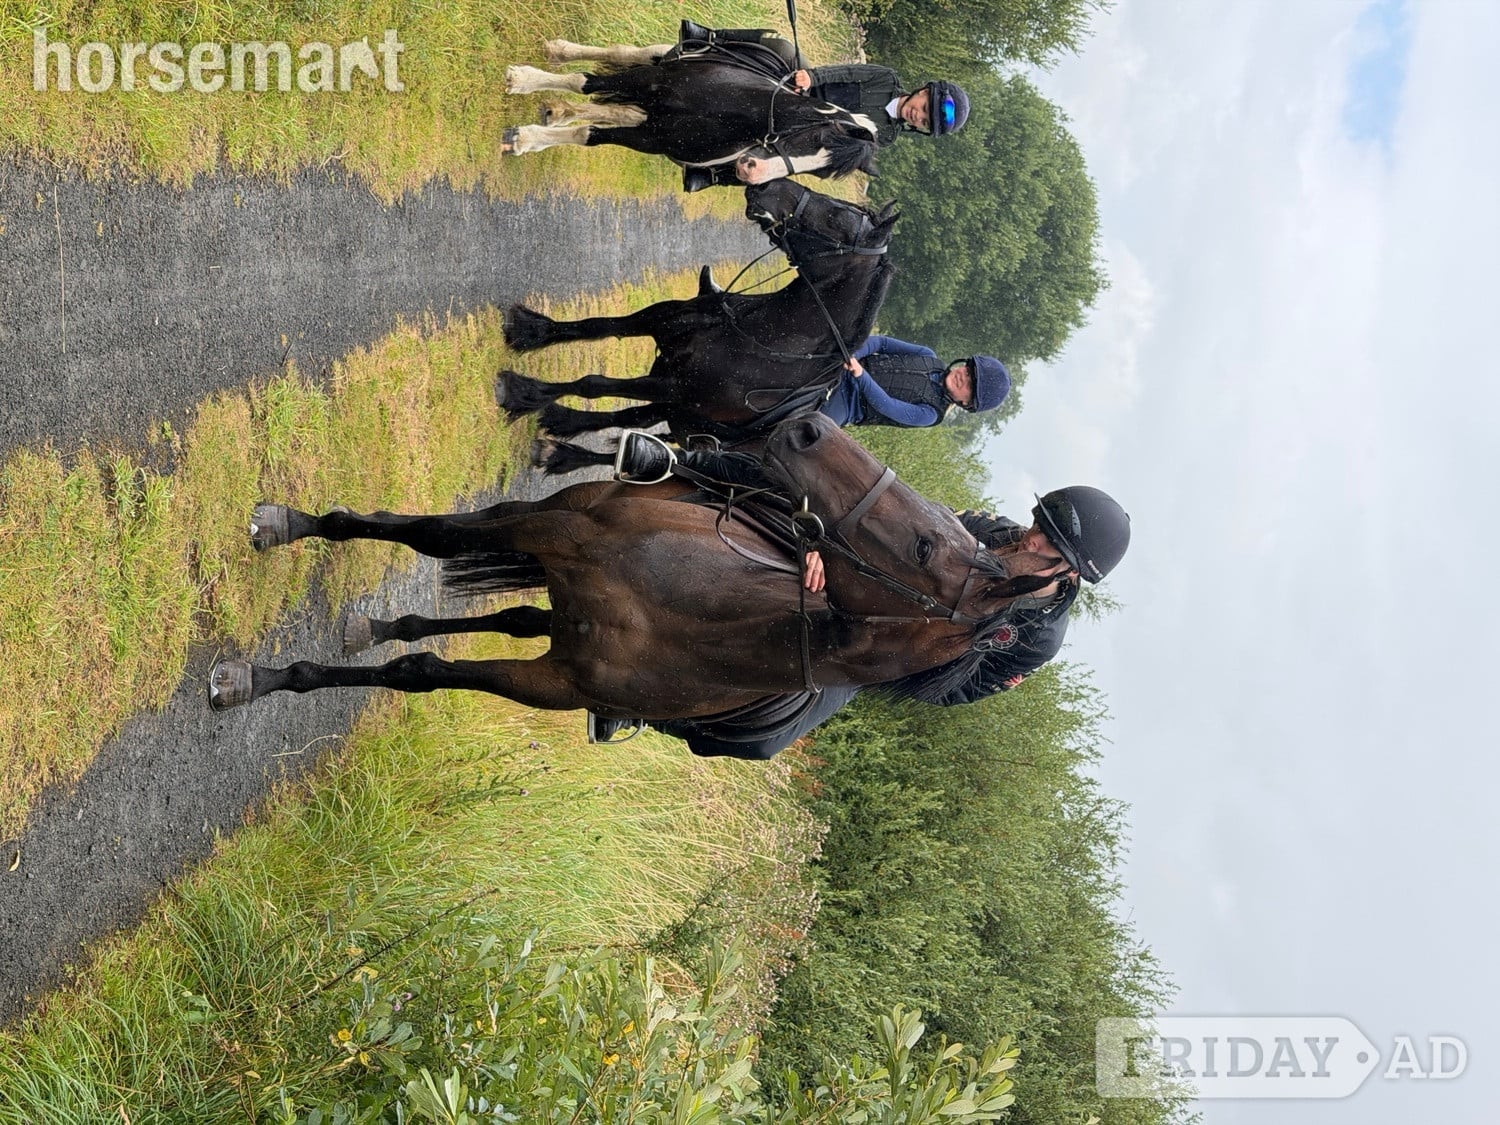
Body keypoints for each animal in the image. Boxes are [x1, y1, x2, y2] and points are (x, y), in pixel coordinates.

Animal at [208, 416, 1061, 722]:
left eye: (925, 548)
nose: (811, 427)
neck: (682, 615)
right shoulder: (550, 525)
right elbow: (424, 534)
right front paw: (284, 530)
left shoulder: (555, 682)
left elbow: (417, 671)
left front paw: (264, 677)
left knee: (515, 617)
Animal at [496, 178, 897, 445]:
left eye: (835, 215)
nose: (769, 182)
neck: (763, 337)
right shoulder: (658, 321)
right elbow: (599, 326)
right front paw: (532, 331)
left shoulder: (675, 387)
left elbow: (592, 384)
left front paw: (524, 393)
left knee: (627, 416)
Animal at [500, 42, 878, 185]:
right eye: (813, 137)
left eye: (818, 174)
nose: (751, 172)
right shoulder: (649, 79)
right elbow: (584, 81)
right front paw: (523, 82)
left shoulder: (652, 138)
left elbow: (588, 134)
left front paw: (527, 139)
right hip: (657, 61)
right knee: (623, 53)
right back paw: (560, 53)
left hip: (645, 112)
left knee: (618, 110)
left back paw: (560, 111)